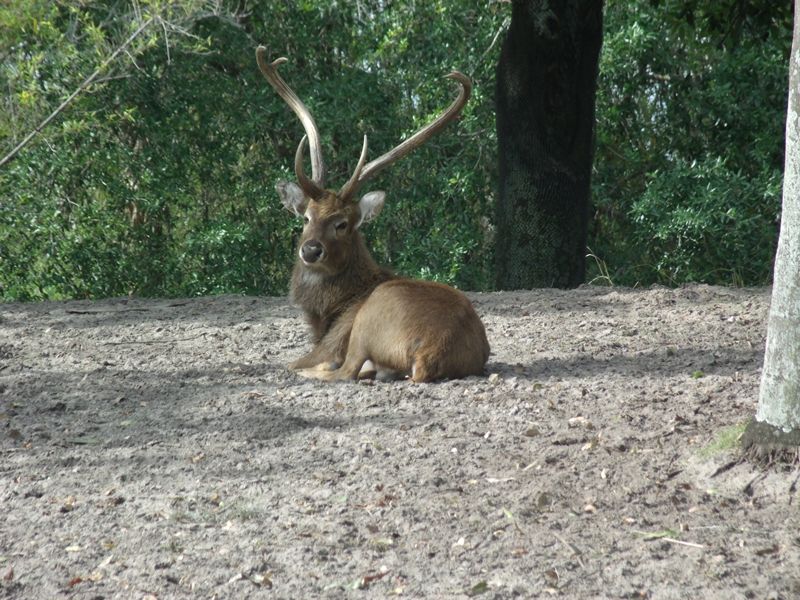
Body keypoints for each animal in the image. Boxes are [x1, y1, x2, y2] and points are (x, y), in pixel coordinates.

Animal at [260, 48, 490, 384]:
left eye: (342, 224)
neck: (327, 313)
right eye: (306, 217)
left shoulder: (332, 340)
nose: (311, 250)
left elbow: (297, 362)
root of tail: (429, 354)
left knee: (344, 371)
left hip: (369, 320)